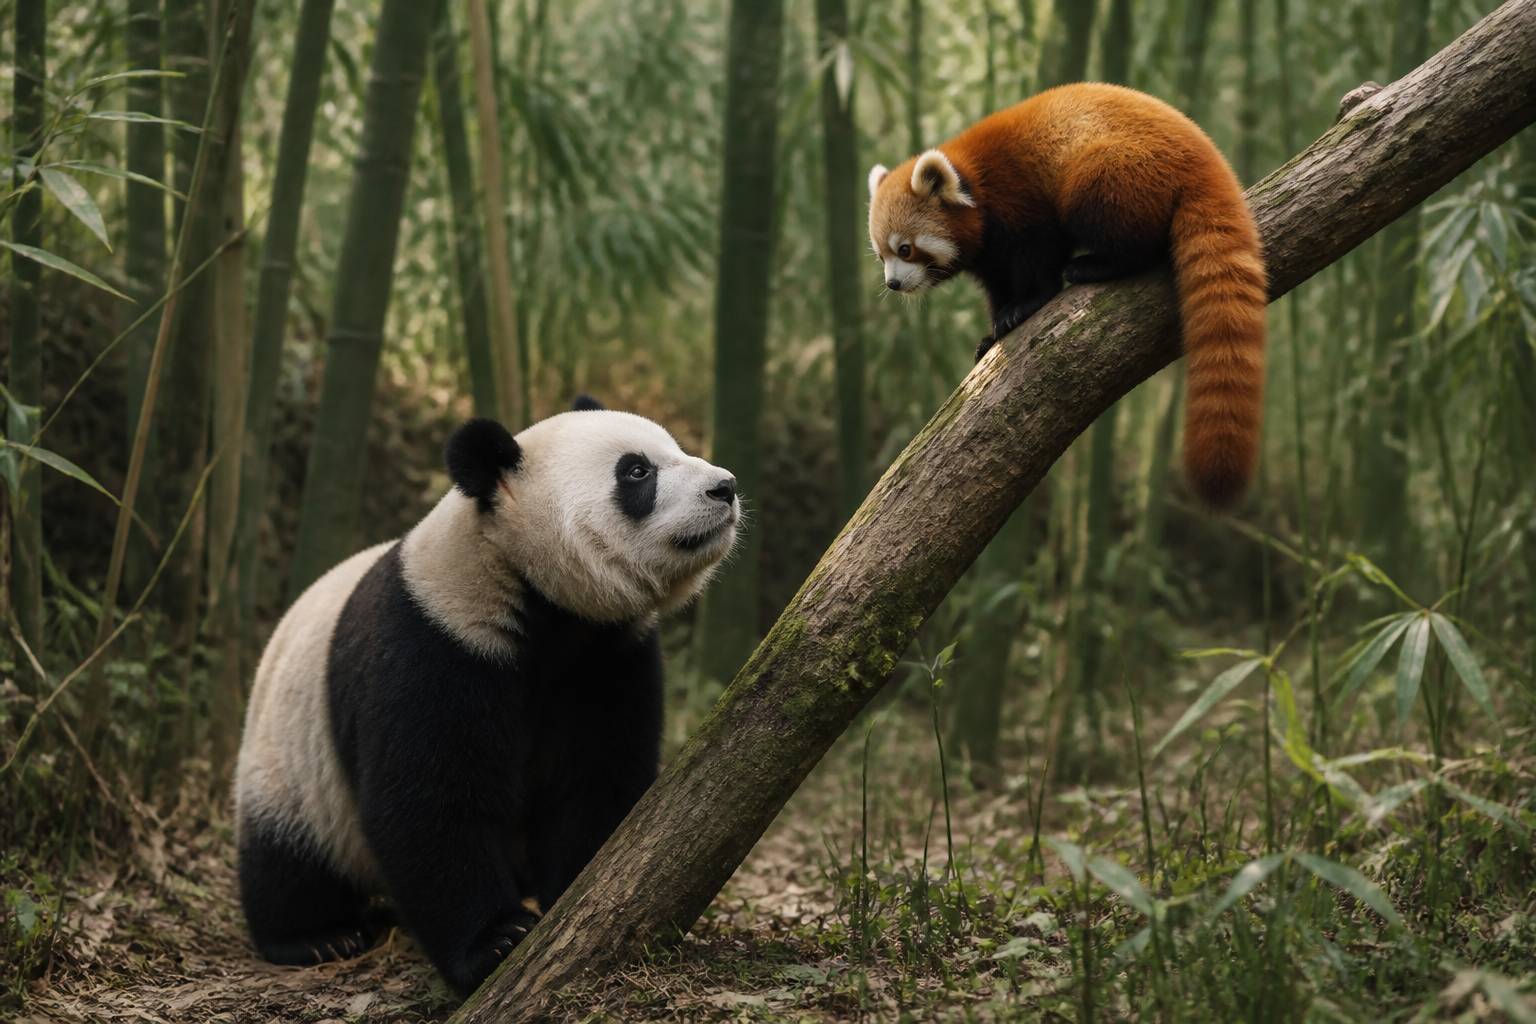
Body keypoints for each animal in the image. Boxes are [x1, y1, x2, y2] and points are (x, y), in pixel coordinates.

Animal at [233, 398, 740, 996]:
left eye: (675, 448)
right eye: (637, 472)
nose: (725, 487)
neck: (536, 597)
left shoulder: (610, 656)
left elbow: (597, 776)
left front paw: (585, 892)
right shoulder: (438, 637)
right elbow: (431, 799)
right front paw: (495, 942)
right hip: (289, 757)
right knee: (287, 855)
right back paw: (316, 937)